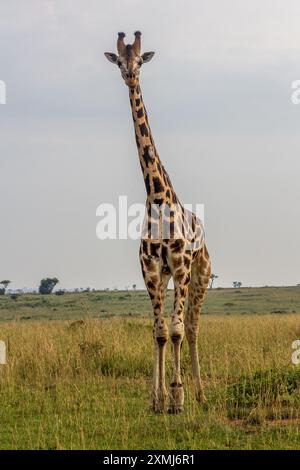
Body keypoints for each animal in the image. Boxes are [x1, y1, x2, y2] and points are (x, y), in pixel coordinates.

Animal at [105, 31, 211, 412]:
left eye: (140, 60)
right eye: (120, 61)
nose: (130, 75)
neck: (157, 196)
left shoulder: (180, 266)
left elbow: (177, 330)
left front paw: (178, 398)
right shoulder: (151, 269)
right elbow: (160, 332)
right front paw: (158, 398)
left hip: (199, 276)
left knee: (192, 327)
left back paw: (200, 393)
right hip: (167, 278)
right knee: (168, 327)